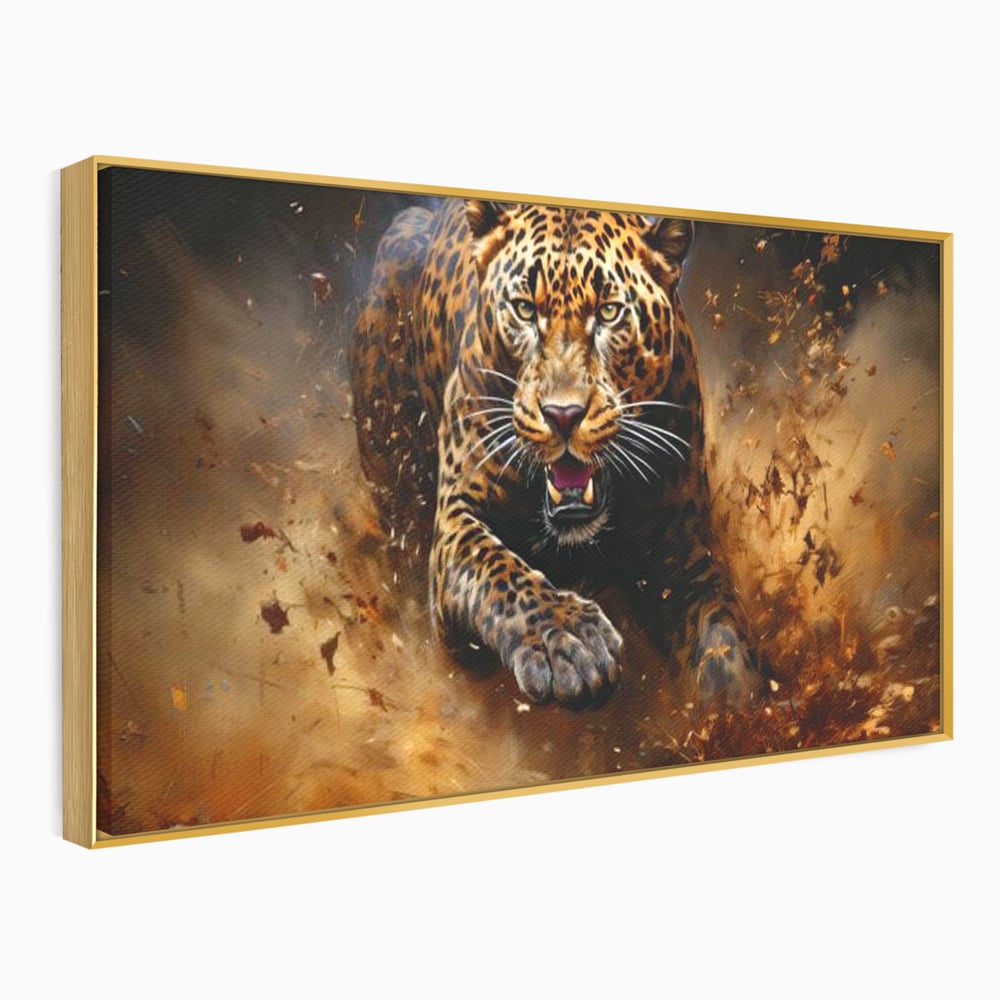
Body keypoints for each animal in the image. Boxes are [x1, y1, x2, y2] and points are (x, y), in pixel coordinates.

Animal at [351, 196, 763, 709]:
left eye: (609, 313)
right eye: (525, 310)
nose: (562, 415)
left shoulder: (680, 545)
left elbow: (722, 639)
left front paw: (744, 708)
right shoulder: (455, 520)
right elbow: (497, 570)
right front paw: (570, 641)